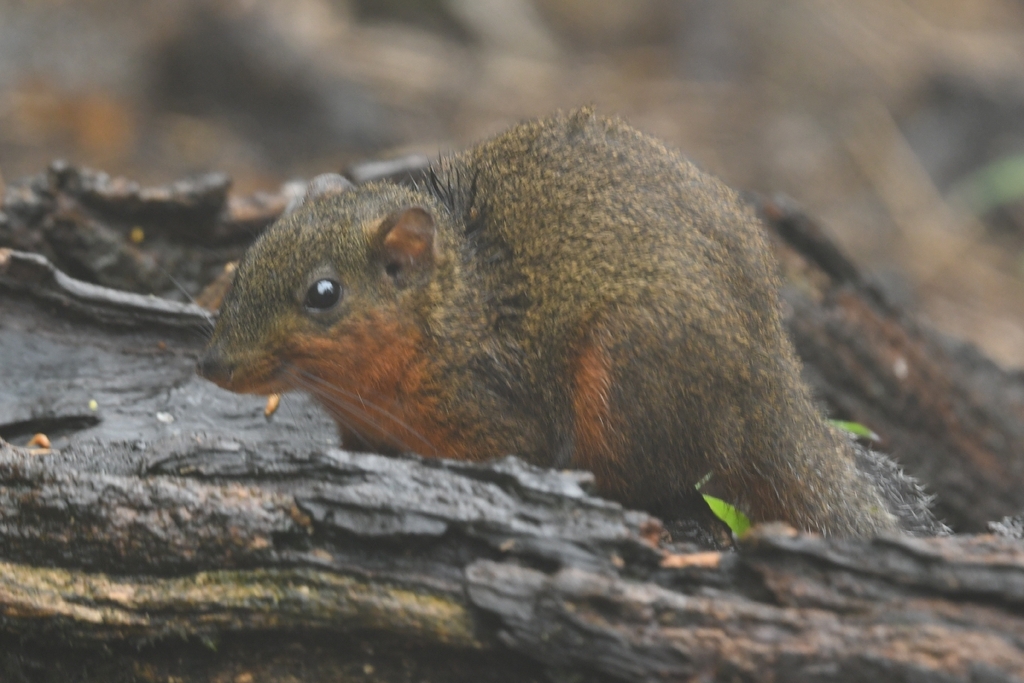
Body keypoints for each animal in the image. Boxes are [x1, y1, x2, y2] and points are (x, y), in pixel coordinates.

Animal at [198, 109, 939, 537]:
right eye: (248, 255)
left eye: (323, 294)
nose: (211, 364)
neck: (451, 315)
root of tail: (769, 391)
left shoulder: (497, 413)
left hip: (631, 380)